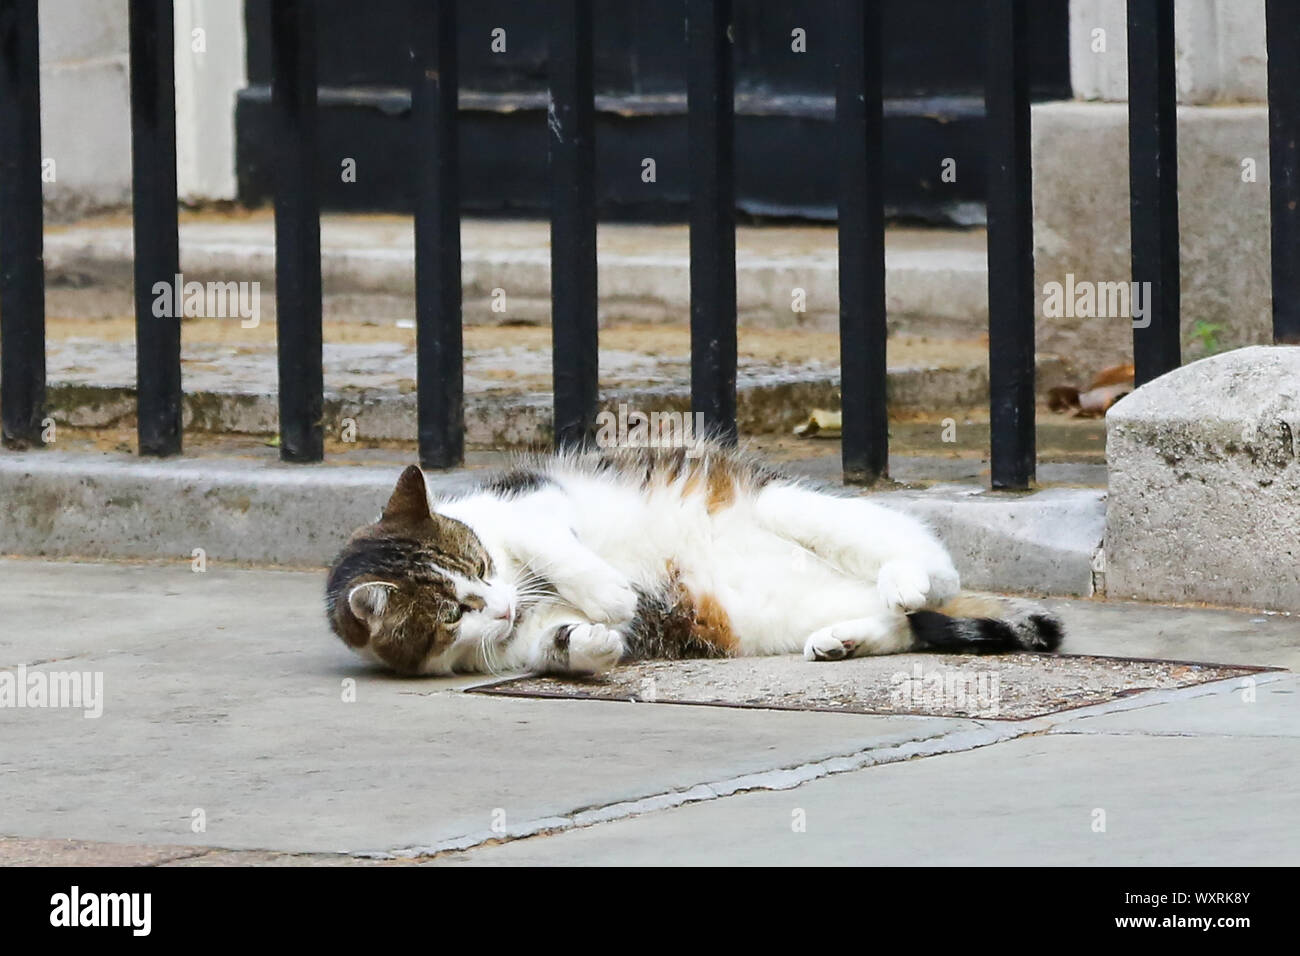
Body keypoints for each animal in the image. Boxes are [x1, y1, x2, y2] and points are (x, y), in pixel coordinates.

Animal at [322, 444, 1055, 676]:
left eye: (478, 566)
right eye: (452, 615)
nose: (500, 607)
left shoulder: (534, 497)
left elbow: (549, 542)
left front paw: (609, 595)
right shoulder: (513, 643)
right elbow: (554, 645)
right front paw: (592, 640)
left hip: (785, 504)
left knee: (930, 564)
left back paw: (906, 578)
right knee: (904, 624)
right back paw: (845, 638)